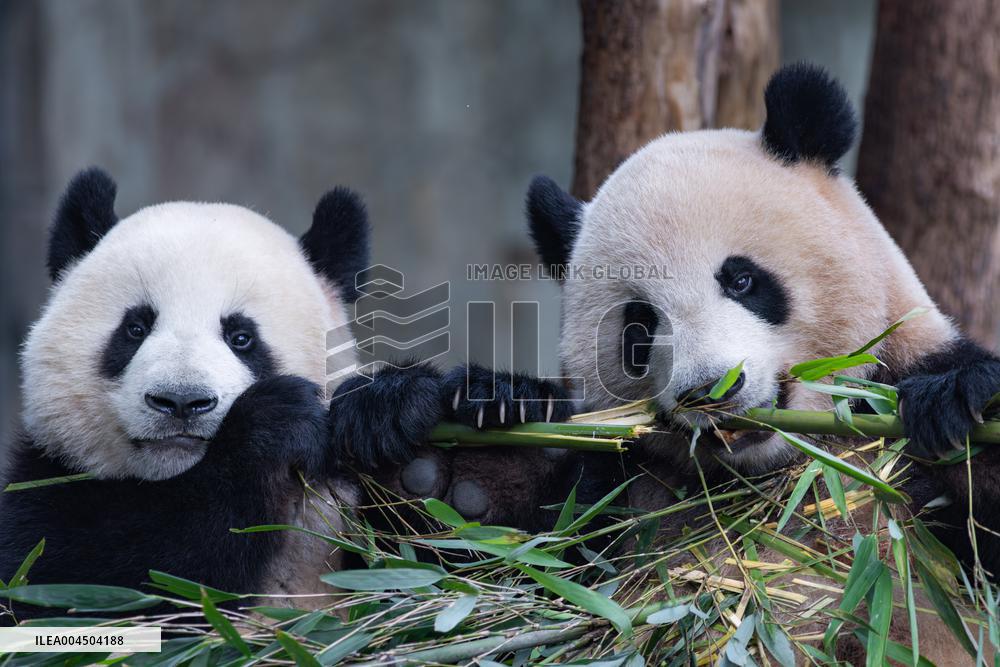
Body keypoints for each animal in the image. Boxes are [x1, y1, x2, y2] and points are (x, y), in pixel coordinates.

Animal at [0, 168, 400, 622]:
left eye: (242, 337)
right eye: (135, 328)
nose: (181, 402)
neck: (179, 477)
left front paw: (394, 417)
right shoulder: (43, 486)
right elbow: (91, 582)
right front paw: (271, 427)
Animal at [349, 64, 1000, 661]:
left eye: (742, 279)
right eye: (639, 327)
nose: (710, 390)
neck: (765, 474)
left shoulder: (897, 465)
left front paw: (956, 399)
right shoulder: (622, 496)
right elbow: (505, 569)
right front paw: (446, 444)